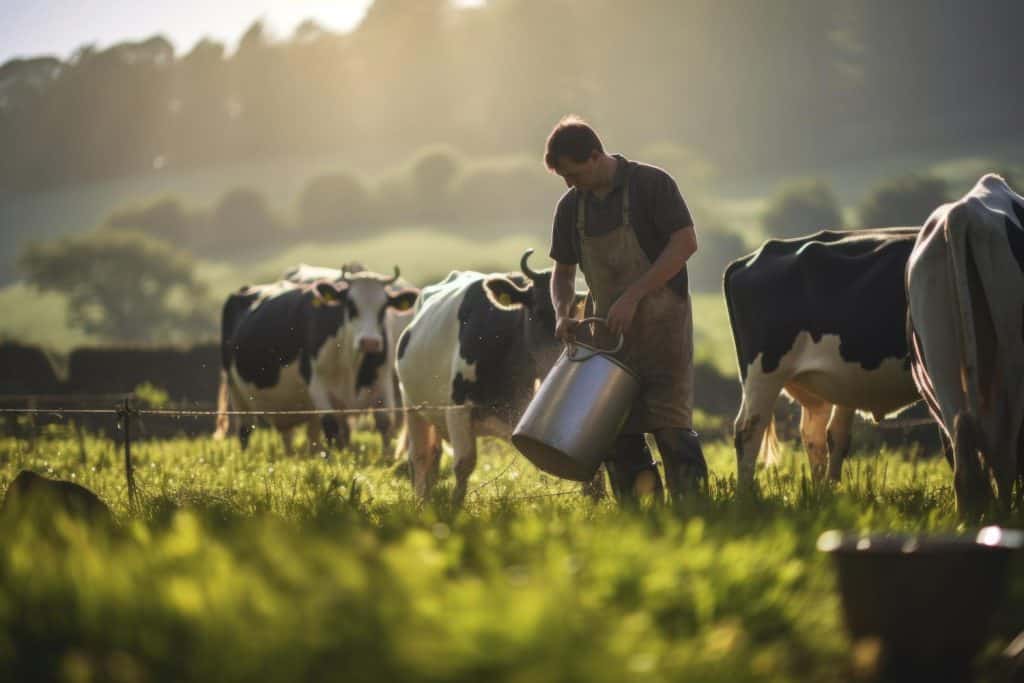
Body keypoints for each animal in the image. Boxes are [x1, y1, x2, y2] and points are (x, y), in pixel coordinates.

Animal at [216, 268, 419, 454]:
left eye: (384, 308)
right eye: (350, 305)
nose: (370, 342)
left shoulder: (383, 381)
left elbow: (385, 423)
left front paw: (387, 459)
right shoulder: (317, 383)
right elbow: (330, 425)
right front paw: (334, 461)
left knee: (297, 435)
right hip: (235, 390)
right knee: (245, 430)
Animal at [399, 249, 593, 501]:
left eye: (576, 315)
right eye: (539, 312)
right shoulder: (458, 408)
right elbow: (464, 464)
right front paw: (456, 504)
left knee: (432, 457)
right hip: (412, 407)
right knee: (420, 458)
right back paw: (421, 501)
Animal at [724, 227, 925, 489]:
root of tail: (749, 259)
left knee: (819, 434)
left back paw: (825, 491)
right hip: (764, 372)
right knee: (749, 429)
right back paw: (745, 493)